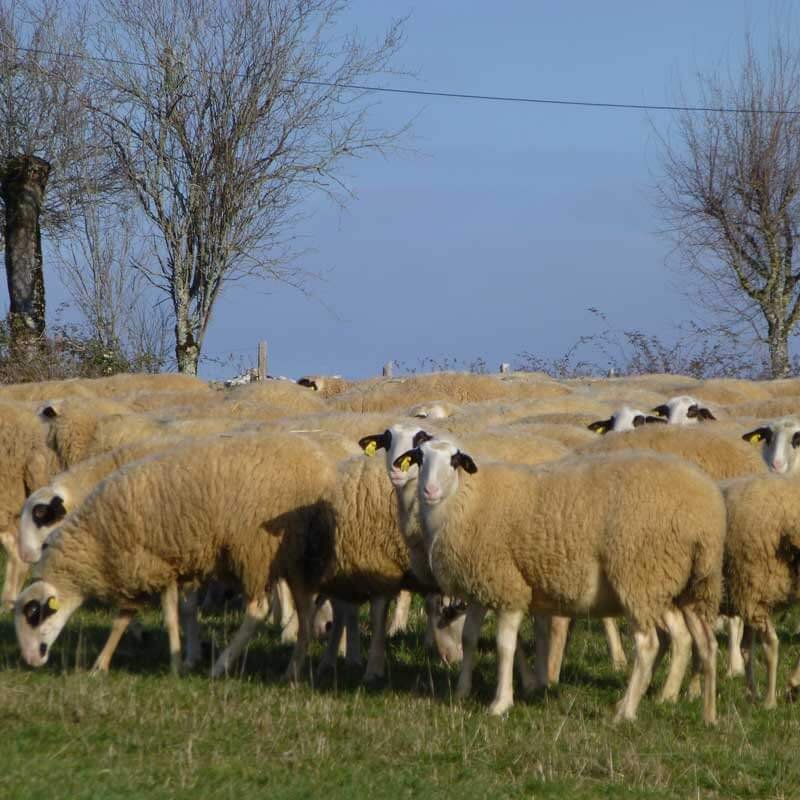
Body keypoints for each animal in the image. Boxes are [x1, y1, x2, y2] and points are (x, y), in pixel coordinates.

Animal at [15, 432, 334, 680]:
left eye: (33, 614)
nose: (31, 661)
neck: (96, 538)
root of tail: (321, 469)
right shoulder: (151, 568)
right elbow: (127, 619)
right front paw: (101, 665)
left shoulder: (153, 564)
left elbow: (165, 617)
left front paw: (177, 663)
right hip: (294, 559)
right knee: (306, 613)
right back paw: (292, 670)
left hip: (255, 551)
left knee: (258, 610)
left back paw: (220, 666)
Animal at [398, 438, 724, 724]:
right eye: (420, 458)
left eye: (454, 461)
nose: (429, 490)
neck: (467, 499)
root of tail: (707, 514)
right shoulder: (483, 587)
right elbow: (469, 638)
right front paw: (462, 692)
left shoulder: (509, 587)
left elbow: (505, 646)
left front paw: (501, 703)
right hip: (681, 587)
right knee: (698, 641)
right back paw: (701, 712)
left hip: (638, 575)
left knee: (648, 645)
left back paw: (626, 711)